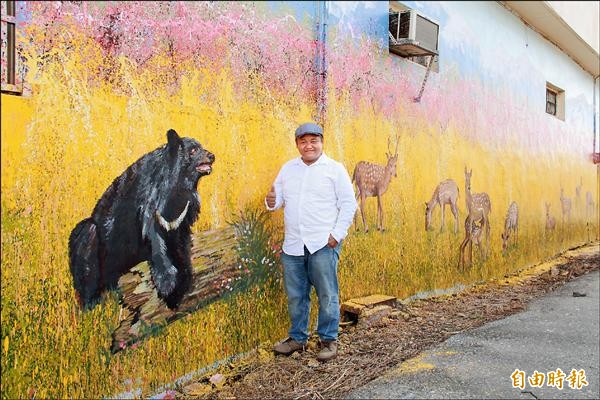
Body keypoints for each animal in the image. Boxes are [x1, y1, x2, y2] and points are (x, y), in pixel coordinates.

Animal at [69, 130, 214, 310]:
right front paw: (168, 287)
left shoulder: (181, 219)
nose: (212, 156)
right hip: (87, 235)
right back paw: (92, 305)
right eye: (193, 150)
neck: (177, 189)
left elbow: (182, 247)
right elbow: (157, 245)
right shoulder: (150, 210)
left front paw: (183, 282)